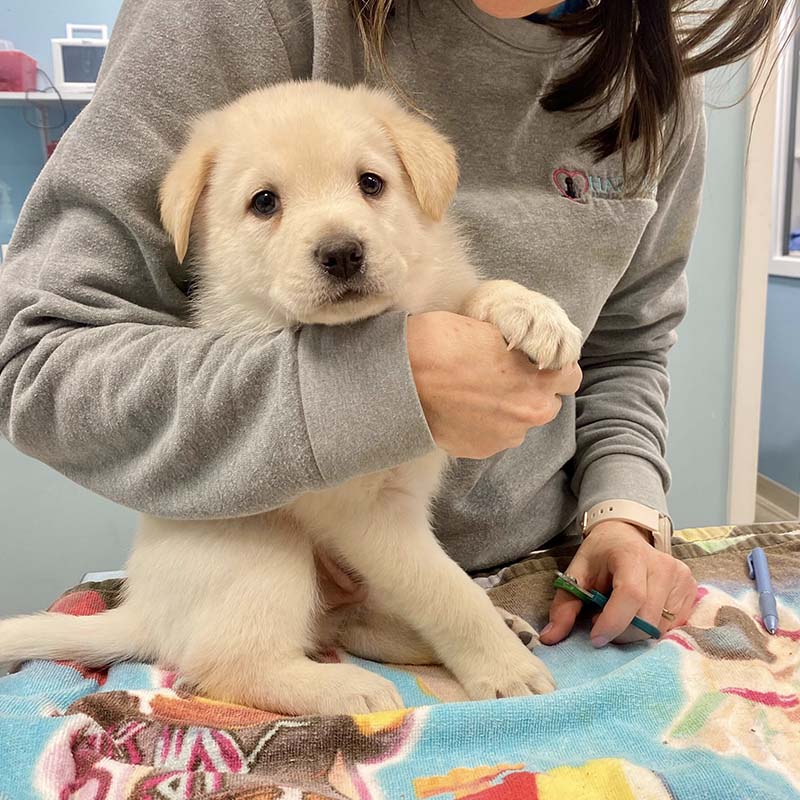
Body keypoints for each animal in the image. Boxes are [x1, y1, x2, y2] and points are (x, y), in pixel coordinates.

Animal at [0, 81, 580, 716]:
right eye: (264, 203)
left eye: (371, 183)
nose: (342, 252)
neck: (372, 323)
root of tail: (141, 610)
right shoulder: (369, 514)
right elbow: (449, 594)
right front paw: (505, 671)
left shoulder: (436, 296)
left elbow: (470, 292)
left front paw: (532, 312)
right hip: (262, 545)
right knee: (229, 665)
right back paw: (349, 687)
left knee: (351, 625)